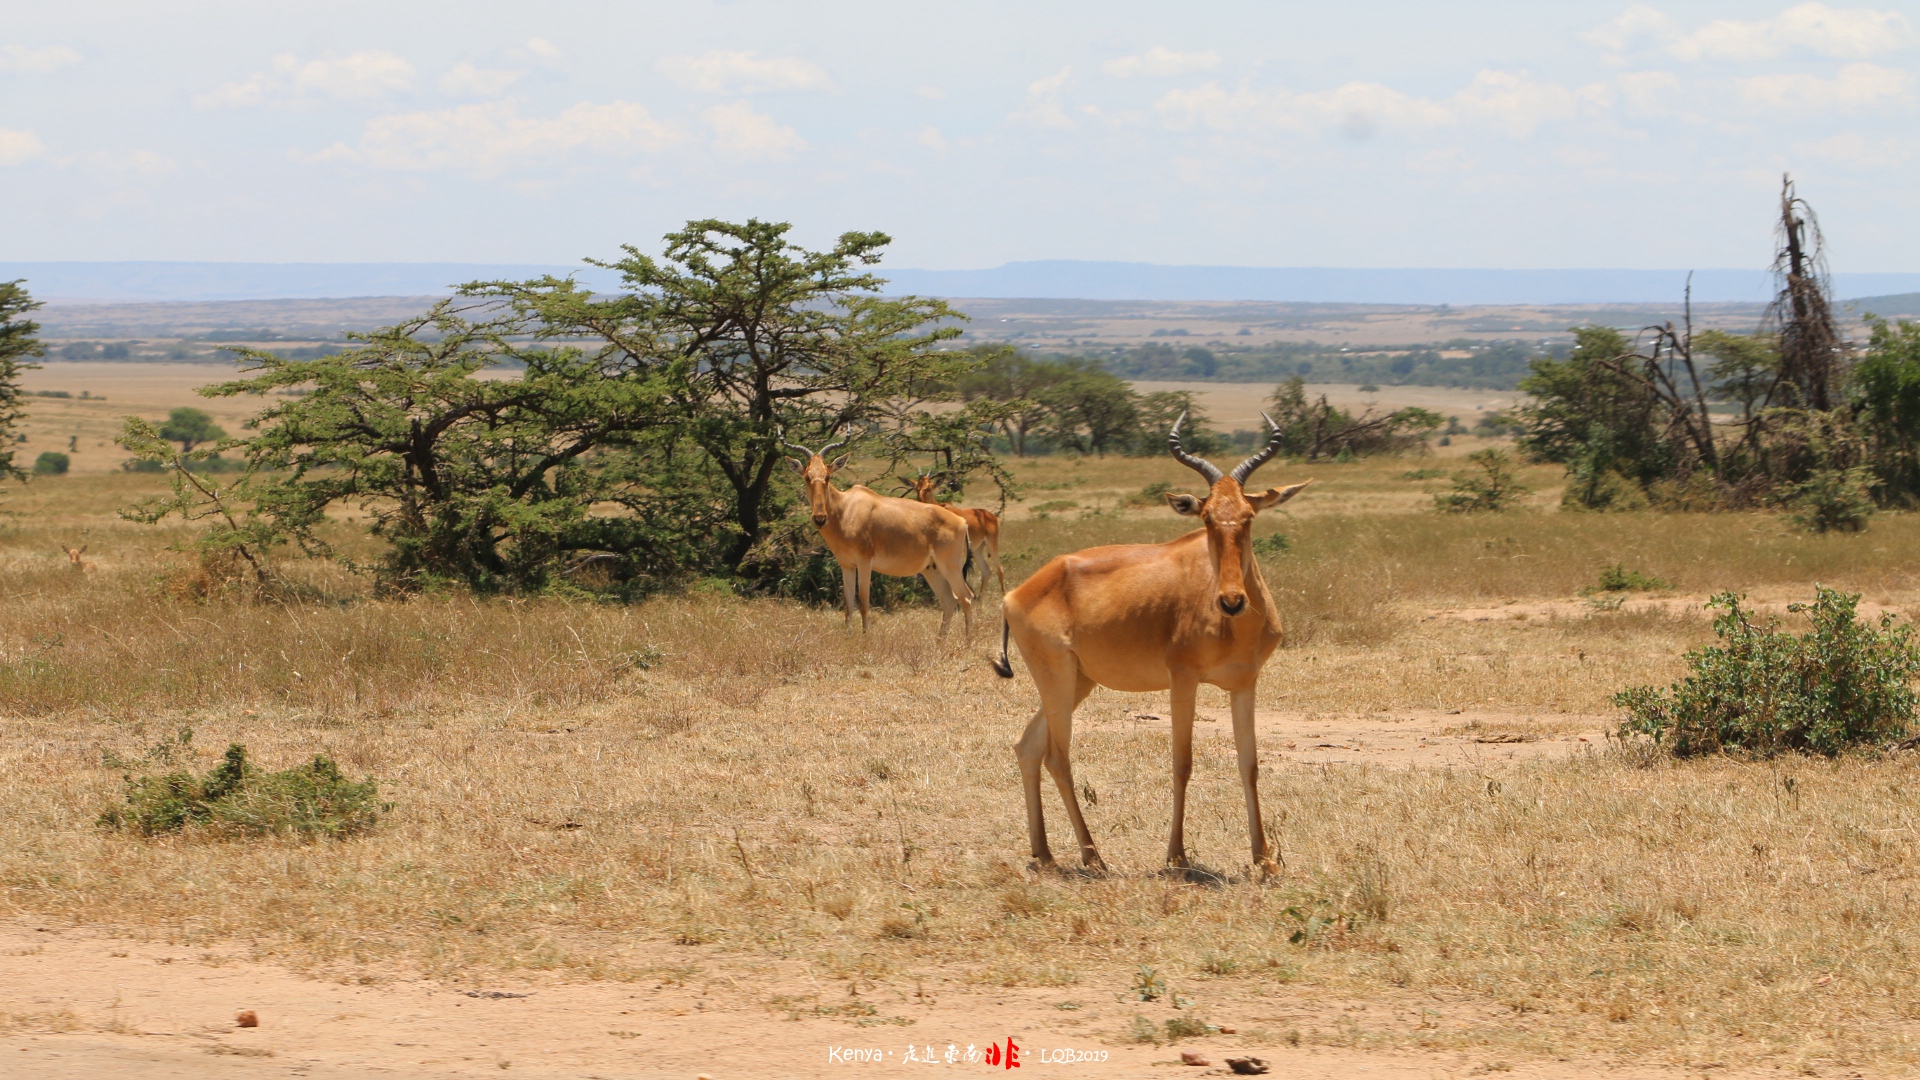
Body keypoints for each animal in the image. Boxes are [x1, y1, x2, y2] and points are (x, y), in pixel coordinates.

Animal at [783, 430, 983, 638]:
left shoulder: (865, 562)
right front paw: (849, 638)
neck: (846, 508)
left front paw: (865, 639)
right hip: (931, 569)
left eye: (828, 476)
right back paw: (939, 641)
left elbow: (863, 602)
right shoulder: (847, 565)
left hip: (950, 567)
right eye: (807, 477)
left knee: (966, 597)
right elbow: (848, 605)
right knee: (949, 600)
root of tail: (962, 521)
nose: (820, 518)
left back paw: (967, 641)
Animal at [990, 411, 1305, 876]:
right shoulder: (1183, 679)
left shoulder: (1245, 684)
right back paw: (1093, 856)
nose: (1231, 601)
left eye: (1249, 516)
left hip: (1077, 682)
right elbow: (1182, 763)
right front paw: (1177, 856)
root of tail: (1018, 591)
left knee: (1027, 746)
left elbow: (1249, 764)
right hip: (1057, 679)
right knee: (1057, 757)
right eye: (1206, 517)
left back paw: (1044, 853)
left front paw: (1264, 860)